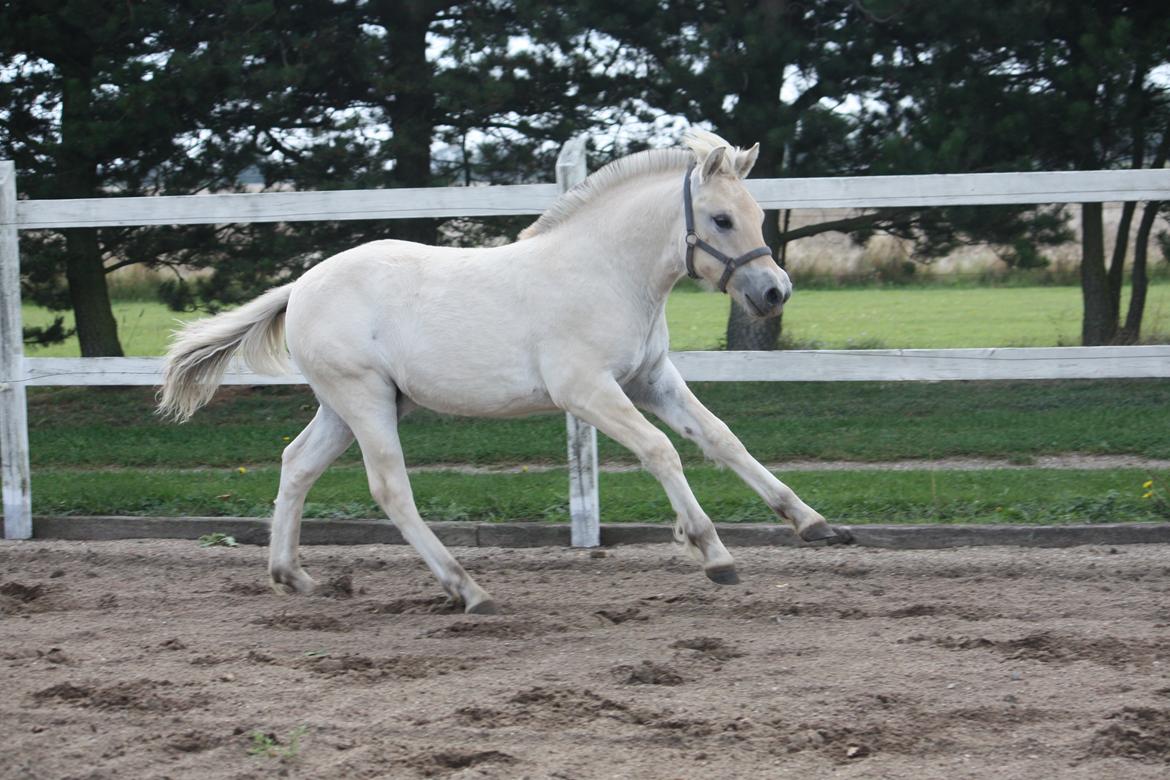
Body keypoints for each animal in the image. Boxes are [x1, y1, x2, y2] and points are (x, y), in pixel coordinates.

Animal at [160, 129, 847, 617]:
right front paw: (712, 552)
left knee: (296, 464)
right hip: (363, 400)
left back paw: (294, 577)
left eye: (757, 213)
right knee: (390, 489)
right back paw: (468, 590)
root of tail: (301, 286)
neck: (607, 273)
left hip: (352, 404)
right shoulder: (586, 391)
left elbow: (721, 438)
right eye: (722, 219)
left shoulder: (651, 379)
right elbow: (660, 451)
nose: (774, 293)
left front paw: (815, 524)